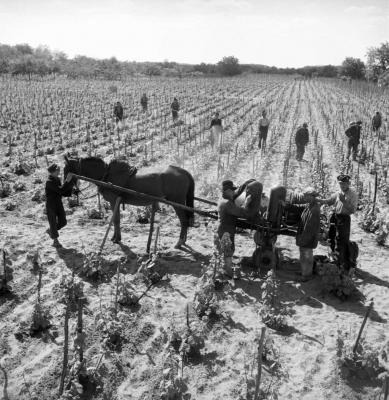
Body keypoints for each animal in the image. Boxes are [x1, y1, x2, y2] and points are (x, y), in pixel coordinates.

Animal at [65, 155, 196, 247]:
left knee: (184, 220)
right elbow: (116, 220)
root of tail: (182, 171)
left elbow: (116, 220)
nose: (65, 187)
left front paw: (117, 239)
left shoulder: (114, 201)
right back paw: (184, 240)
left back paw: (179, 242)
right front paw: (115, 237)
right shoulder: (116, 202)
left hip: (177, 202)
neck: (106, 175)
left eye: (66, 169)